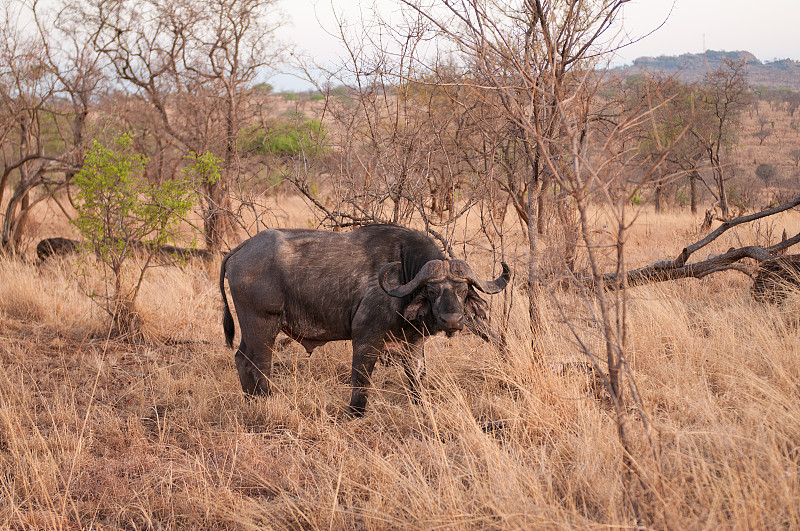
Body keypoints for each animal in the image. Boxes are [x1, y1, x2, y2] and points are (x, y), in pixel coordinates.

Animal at [219, 224, 510, 416]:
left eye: (462, 290)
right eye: (432, 291)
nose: (452, 320)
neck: (403, 273)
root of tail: (240, 249)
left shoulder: (413, 343)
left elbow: (417, 379)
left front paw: (421, 407)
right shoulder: (365, 340)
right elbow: (361, 380)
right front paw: (354, 414)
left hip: (251, 330)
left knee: (241, 360)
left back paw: (250, 401)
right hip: (263, 327)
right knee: (260, 366)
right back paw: (265, 401)